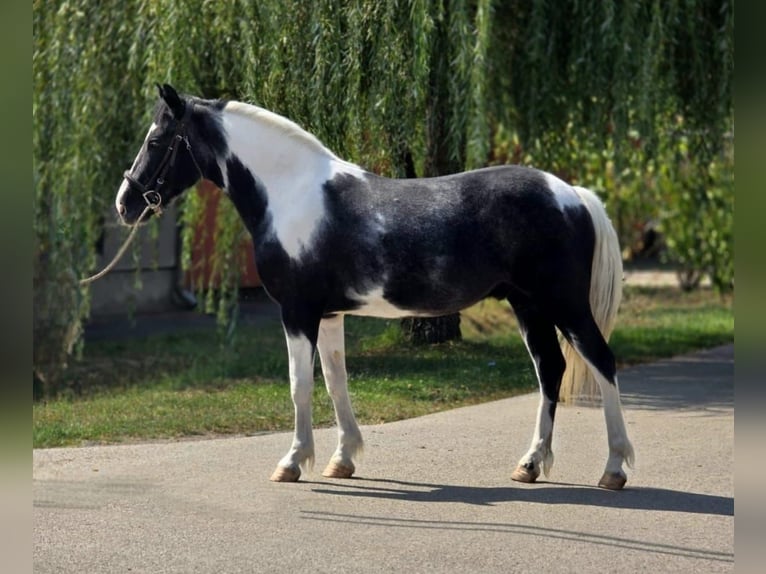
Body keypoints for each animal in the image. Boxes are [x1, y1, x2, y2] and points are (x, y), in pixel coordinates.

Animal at [115, 84, 634, 490]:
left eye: (157, 139)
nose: (125, 203)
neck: (290, 194)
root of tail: (572, 194)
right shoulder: (329, 314)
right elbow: (336, 381)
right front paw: (342, 459)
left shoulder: (297, 312)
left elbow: (299, 384)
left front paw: (292, 462)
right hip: (529, 306)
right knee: (550, 369)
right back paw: (529, 465)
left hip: (565, 304)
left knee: (601, 362)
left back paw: (613, 469)